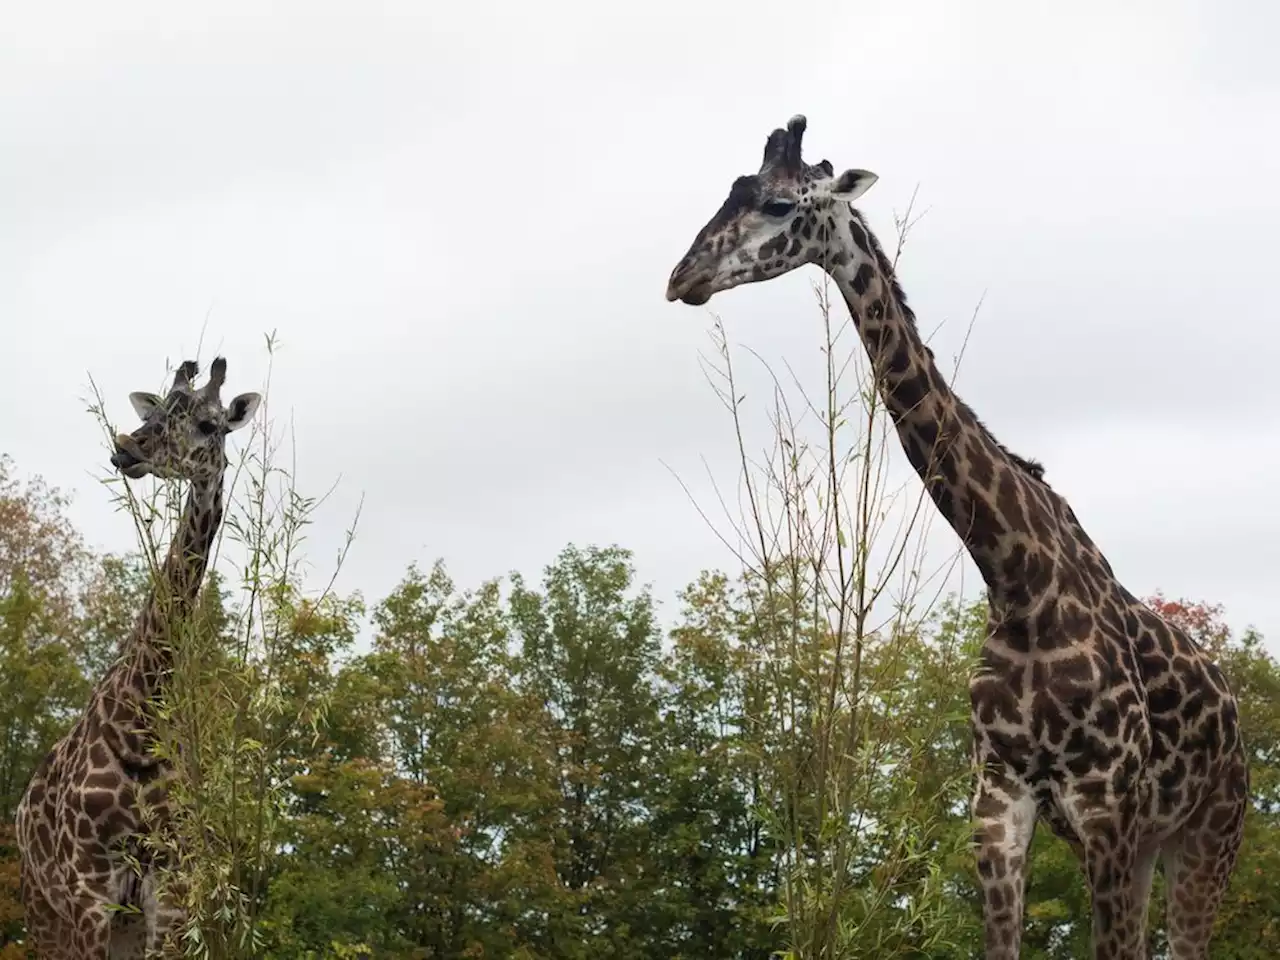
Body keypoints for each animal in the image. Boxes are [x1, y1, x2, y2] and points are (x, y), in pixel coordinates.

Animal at [15, 358, 262, 957]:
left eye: (210, 425)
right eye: (158, 411)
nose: (128, 448)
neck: (139, 719)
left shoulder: (168, 891)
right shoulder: (89, 891)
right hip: (44, 912)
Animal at [665, 116, 1244, 957]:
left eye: (777, 203)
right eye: (729, 191)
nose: (684, 276)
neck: (1017, 577)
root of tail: (1235, 712)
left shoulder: (1105, 806)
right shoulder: (998, 806)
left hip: (1206, 837)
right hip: (1148, 846)